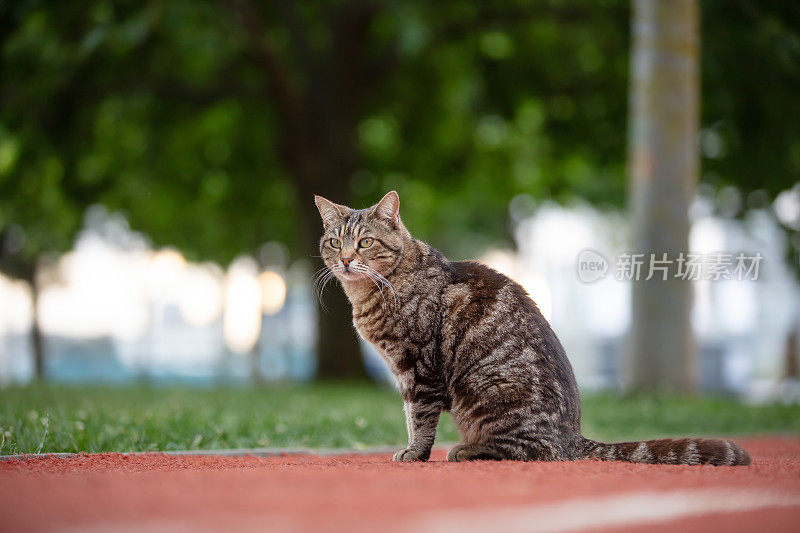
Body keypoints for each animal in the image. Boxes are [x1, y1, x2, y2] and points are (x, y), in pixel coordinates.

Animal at [310, 191, 752, 466]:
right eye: (334, 242)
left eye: (365, 243)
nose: (345, 259)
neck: (371, 293)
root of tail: (572, 435)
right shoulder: (406, 372)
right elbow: (409, 415)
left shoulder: (419, 368)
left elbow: (418, 419)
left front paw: (414, 454)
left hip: (482, 392)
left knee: (533, 451)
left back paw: (468, 450)